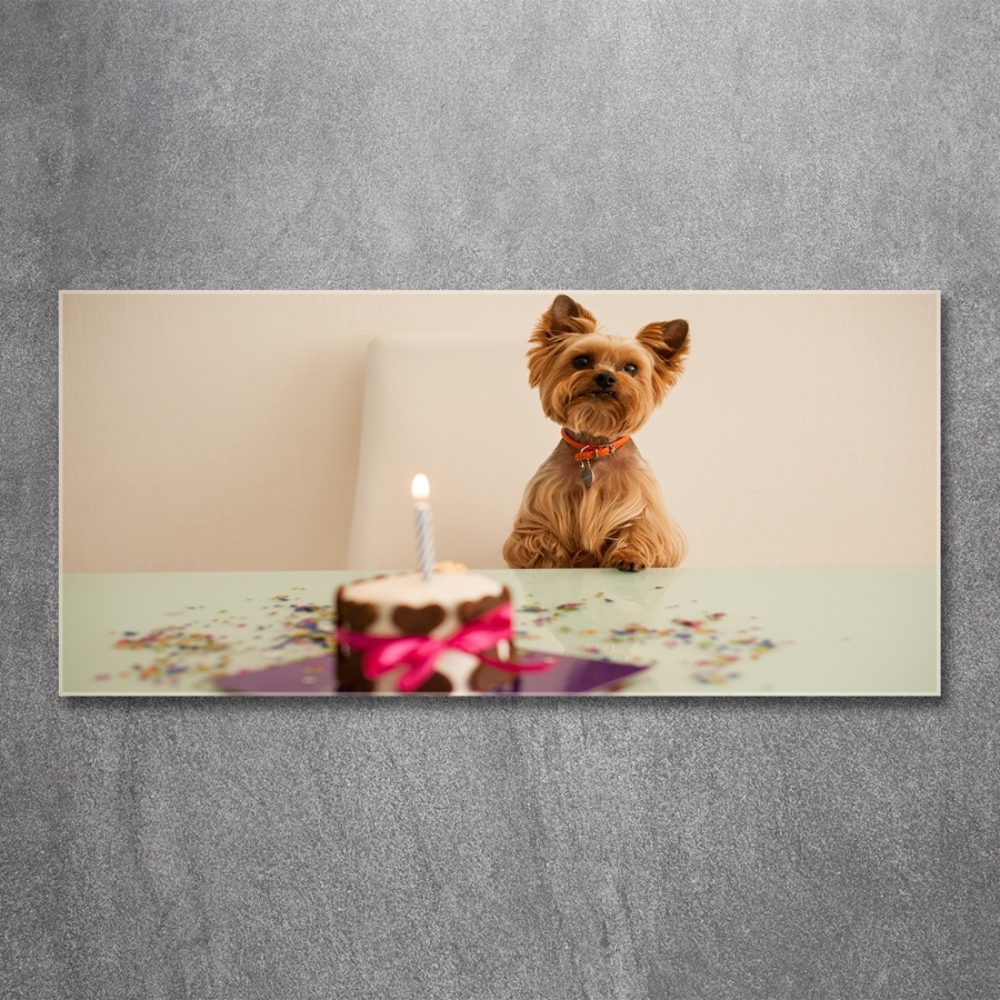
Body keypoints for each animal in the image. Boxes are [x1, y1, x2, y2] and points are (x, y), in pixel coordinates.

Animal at [508, 294, 688, 572]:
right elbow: (539, 538)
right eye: (581, 361)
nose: (605, 377)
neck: (593, 448)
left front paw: (630, 555)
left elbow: (639, 528)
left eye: (631, 368)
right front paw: (548, 562)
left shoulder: (642, 505)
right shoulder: (541, 507)